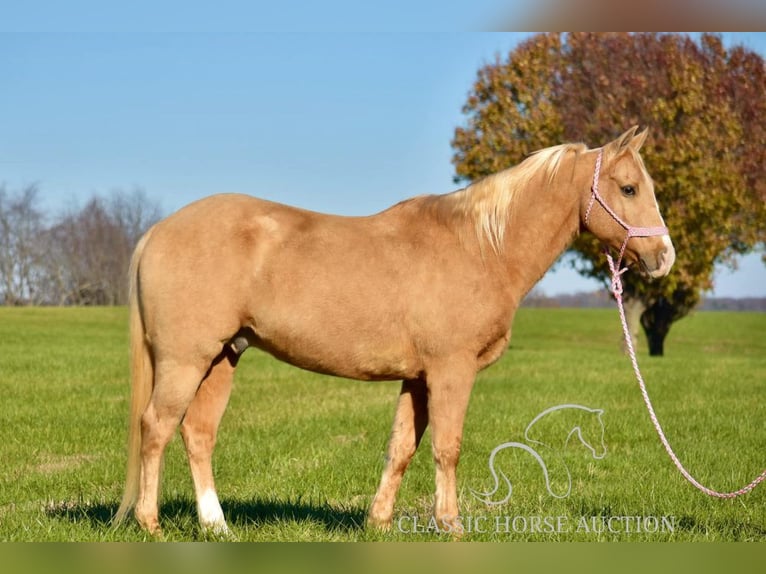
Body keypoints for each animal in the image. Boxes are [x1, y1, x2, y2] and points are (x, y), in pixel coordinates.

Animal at [115, 126, 680, 536]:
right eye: (628, 188)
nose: (663, 258)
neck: (482, 247)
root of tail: (158, 231)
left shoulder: (417, 378)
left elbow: (402, 447)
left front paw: (379, 523)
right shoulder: (450, 371)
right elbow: (447, 447)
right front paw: (451, 527)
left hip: (222, 358)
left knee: (197, 434)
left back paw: (217, 527)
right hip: (185, 361)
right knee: (156, 427)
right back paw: (150, 524)